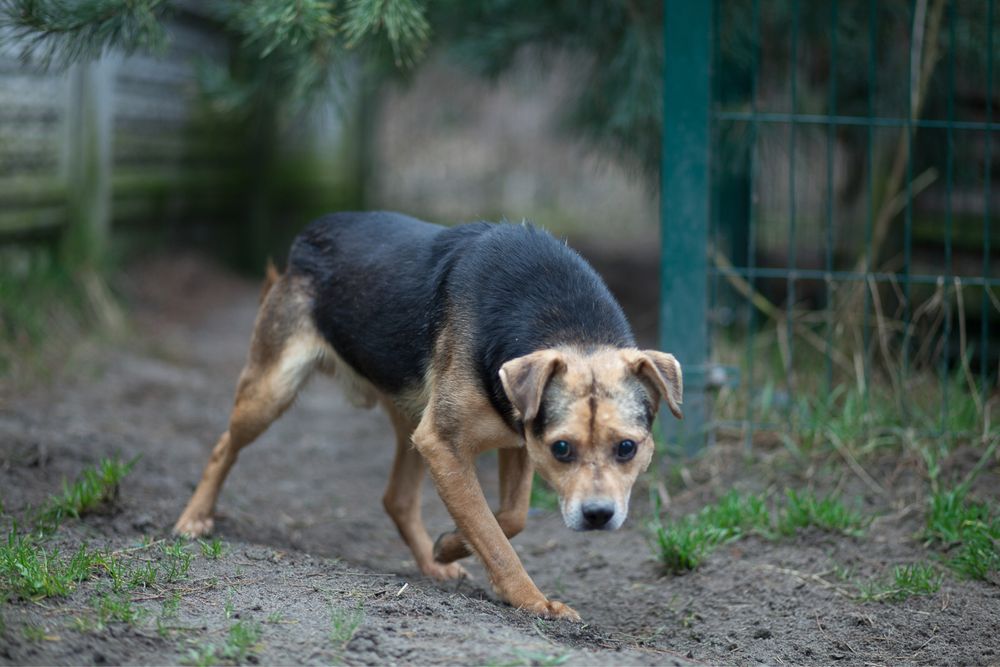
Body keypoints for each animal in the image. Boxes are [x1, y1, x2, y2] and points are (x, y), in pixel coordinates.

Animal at [176, 210, 684, 620]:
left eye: (627, 448)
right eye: (563, 448)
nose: (598, 515)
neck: (563, 321)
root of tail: (306, 239)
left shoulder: (515, 436)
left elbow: (508, 517)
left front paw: (448, 546)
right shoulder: (445, 444)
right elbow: (494, 537)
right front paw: (533, 601)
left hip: (410, 418)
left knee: (397, 498)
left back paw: (431, 562)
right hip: (272, 391)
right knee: (223, 445)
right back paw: (193, 520)